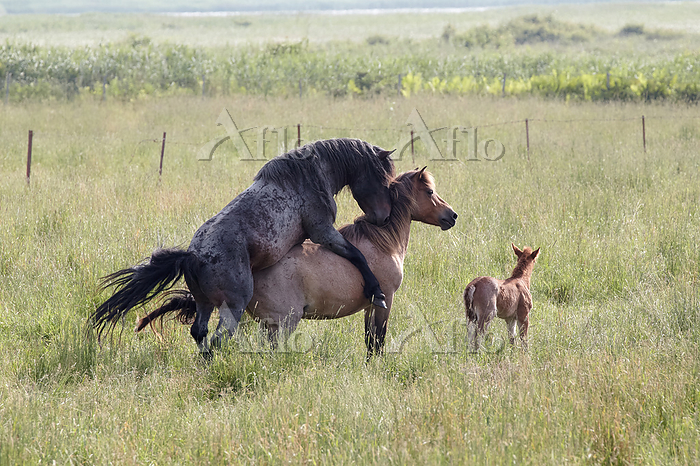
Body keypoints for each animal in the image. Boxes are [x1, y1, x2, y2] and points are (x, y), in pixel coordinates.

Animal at [93, 137, 396, 354]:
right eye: (383, 180)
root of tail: (192, 256)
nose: (383, 217)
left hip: (205, 303)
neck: (309, 176)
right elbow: (357, 256)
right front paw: (376, 291)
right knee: (218, 338)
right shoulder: (323, 232)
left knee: (200, 334)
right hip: (232, 306)